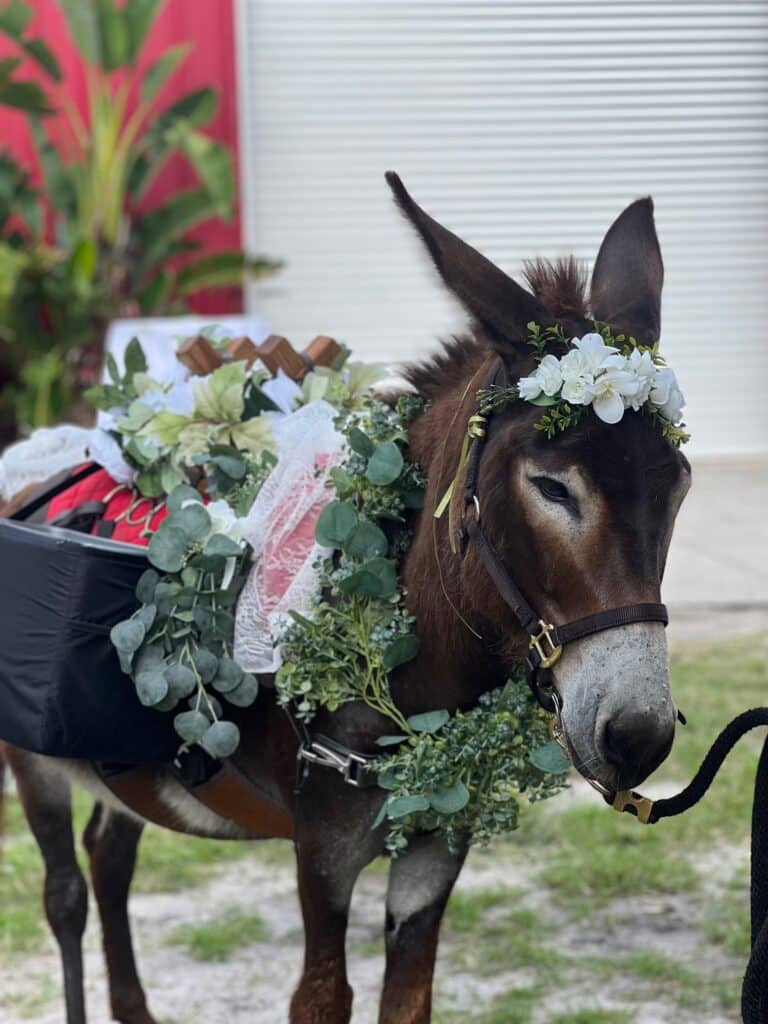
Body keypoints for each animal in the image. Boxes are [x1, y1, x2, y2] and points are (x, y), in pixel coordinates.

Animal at [0, 173, 690, 1024]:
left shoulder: (435, 849)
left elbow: (410, 998)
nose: (638, 737)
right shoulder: (321, 852)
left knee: (109, 857)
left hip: (128, 770)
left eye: (679, 483)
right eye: (553, 487)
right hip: (32, 763)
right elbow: (322, 996)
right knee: (63, 894)